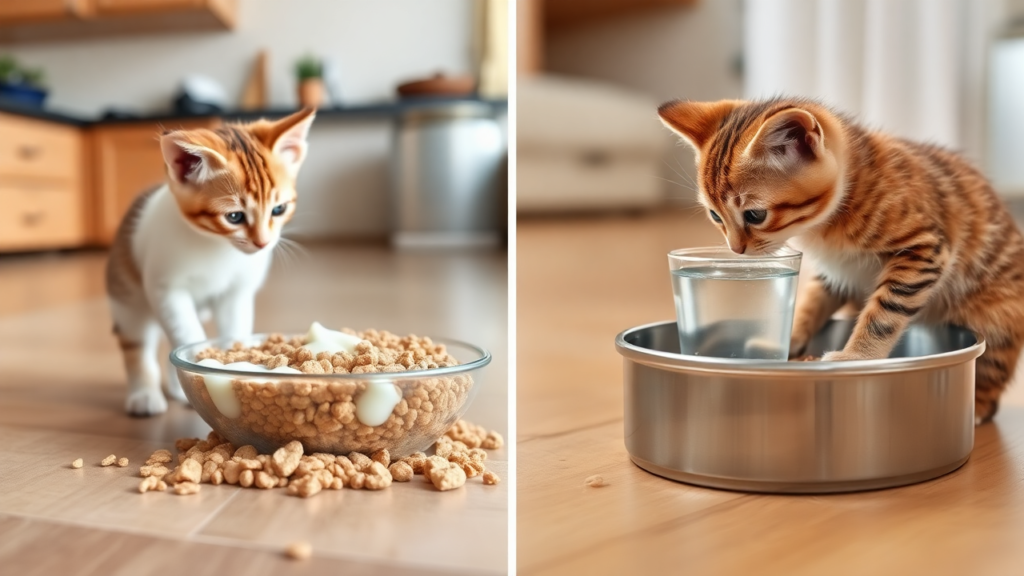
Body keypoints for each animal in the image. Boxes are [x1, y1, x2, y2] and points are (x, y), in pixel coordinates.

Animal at [105, 106, 315, 412]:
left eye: (279, 209)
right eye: (234, 216)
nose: (263, 243)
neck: (218, 247)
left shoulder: (237, 293)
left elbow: (233, 330)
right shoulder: (165, 289)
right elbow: (187, 333)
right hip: (127, 299)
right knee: (137, 343)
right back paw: (144, 394)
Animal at [655, 97, 1024, 422]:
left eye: (755, 215)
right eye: (715, 216)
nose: (735, 250)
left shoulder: (924, 249)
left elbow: (884, 312)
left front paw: (856, 356)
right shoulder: (837, 273)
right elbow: (811, 302)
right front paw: (787, 339)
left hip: (996, 314)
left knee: (992, 374)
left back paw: (976, 407)